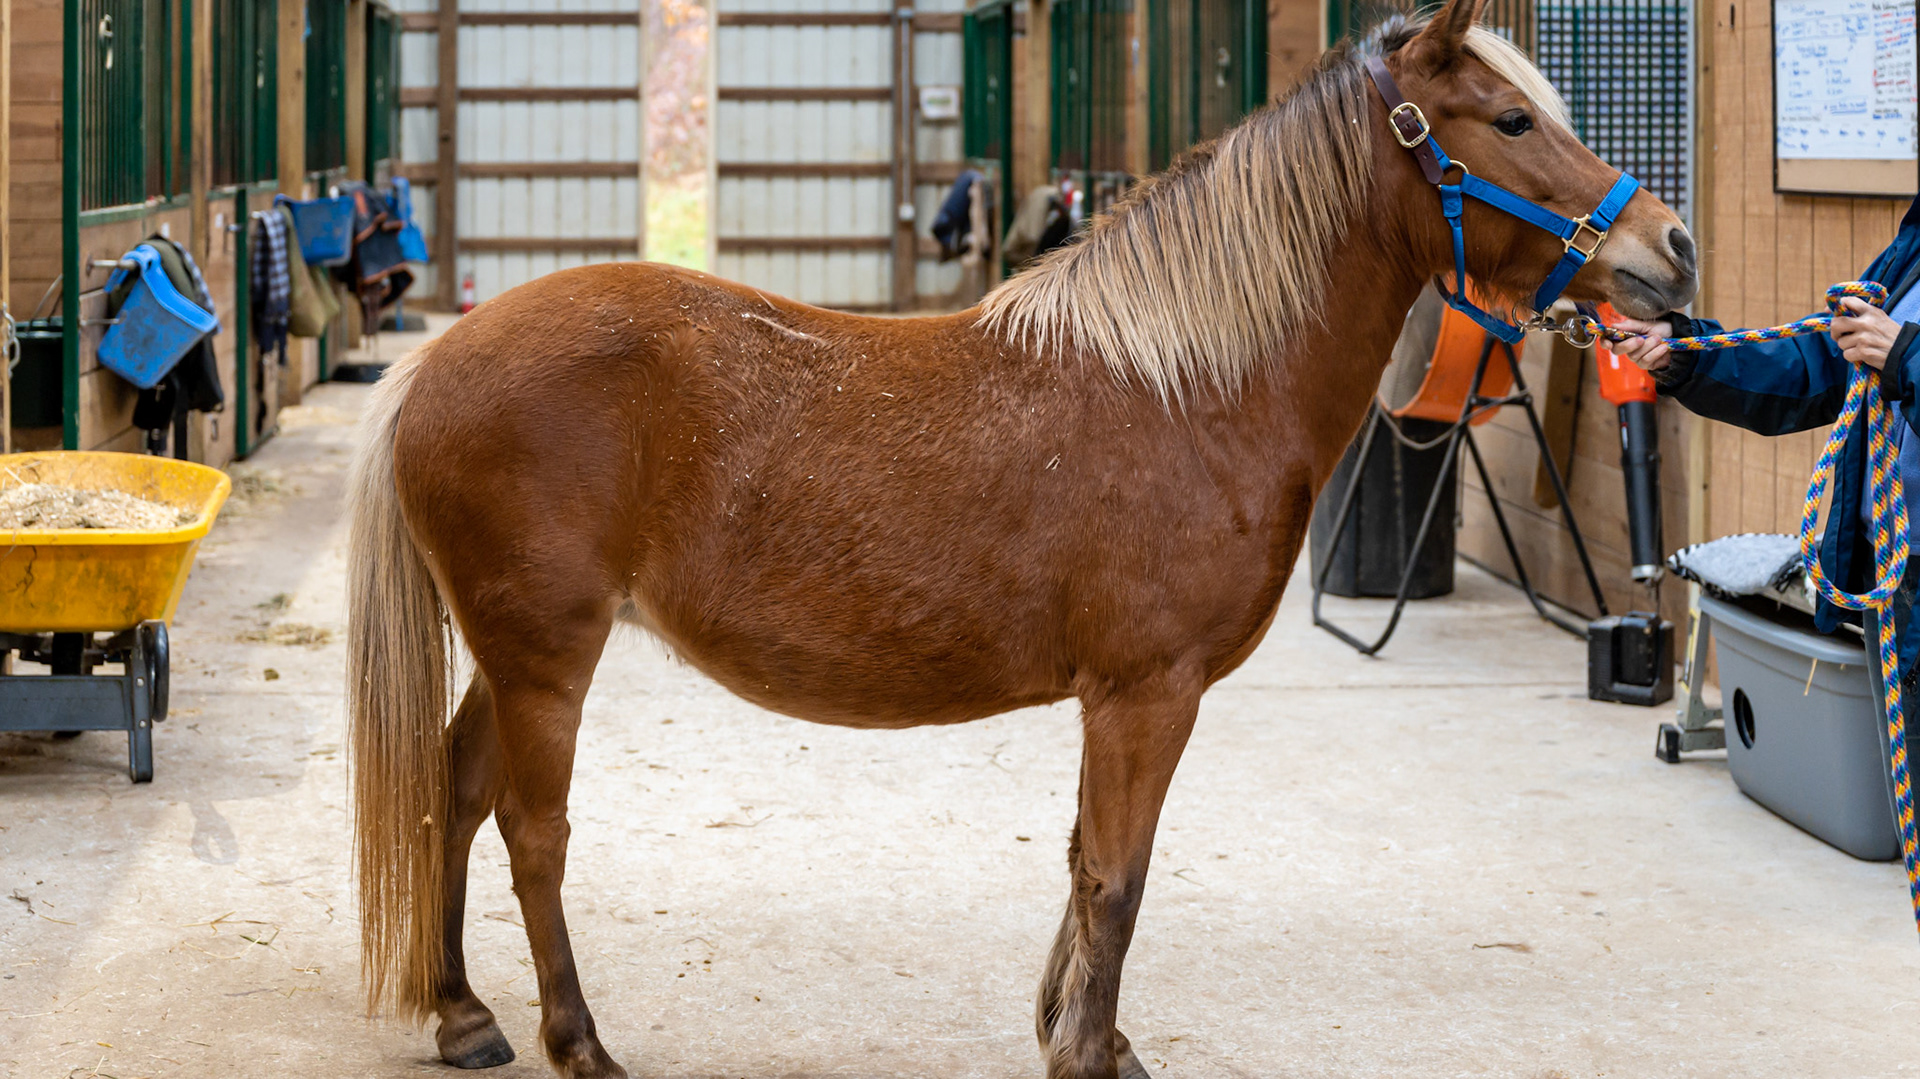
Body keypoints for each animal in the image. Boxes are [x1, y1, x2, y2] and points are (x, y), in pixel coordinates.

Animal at [345, 2, 1696, 1075]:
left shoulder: (1120, 700)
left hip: (511, 657)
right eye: (1509, 123)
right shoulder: (1148, 693)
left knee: (451, 791)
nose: (1670, 250)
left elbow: (1082, 862)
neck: (1193, 385)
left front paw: (1083, 1031)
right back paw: (580, 1043)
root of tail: (433, 364)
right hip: (547, 660)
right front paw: (1086, 1052)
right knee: (531, 832)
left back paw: (464, 1014)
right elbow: (1117, 876)